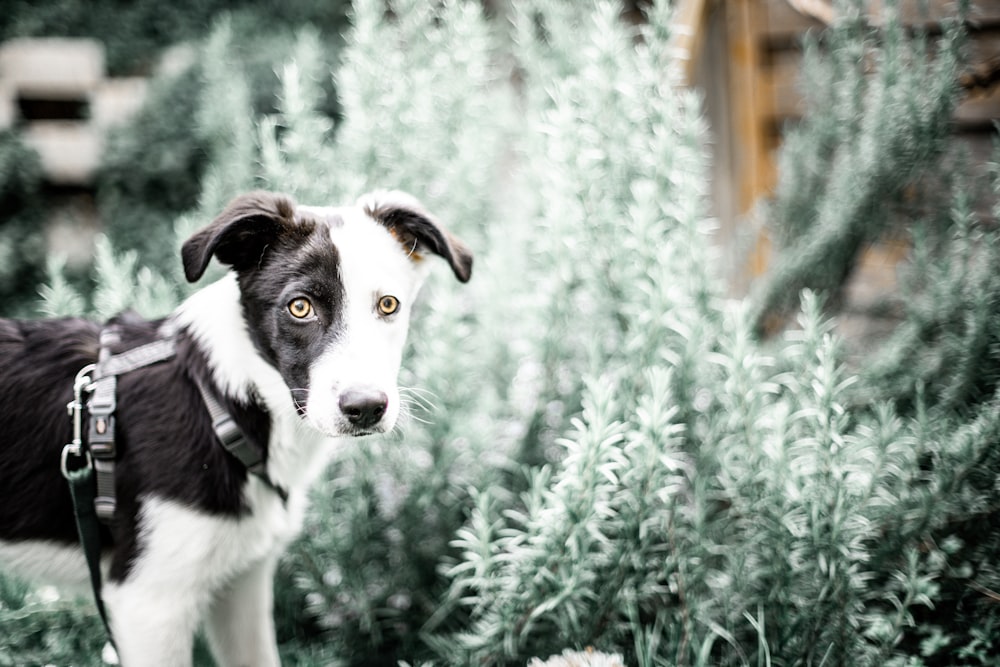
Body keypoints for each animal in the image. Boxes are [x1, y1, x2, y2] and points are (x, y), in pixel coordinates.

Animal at [0, 190, 472, 664]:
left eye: (388, 304)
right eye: (300, 307)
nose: (367, 408)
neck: (220, 405)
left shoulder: (242, 584)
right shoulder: (148, 604)